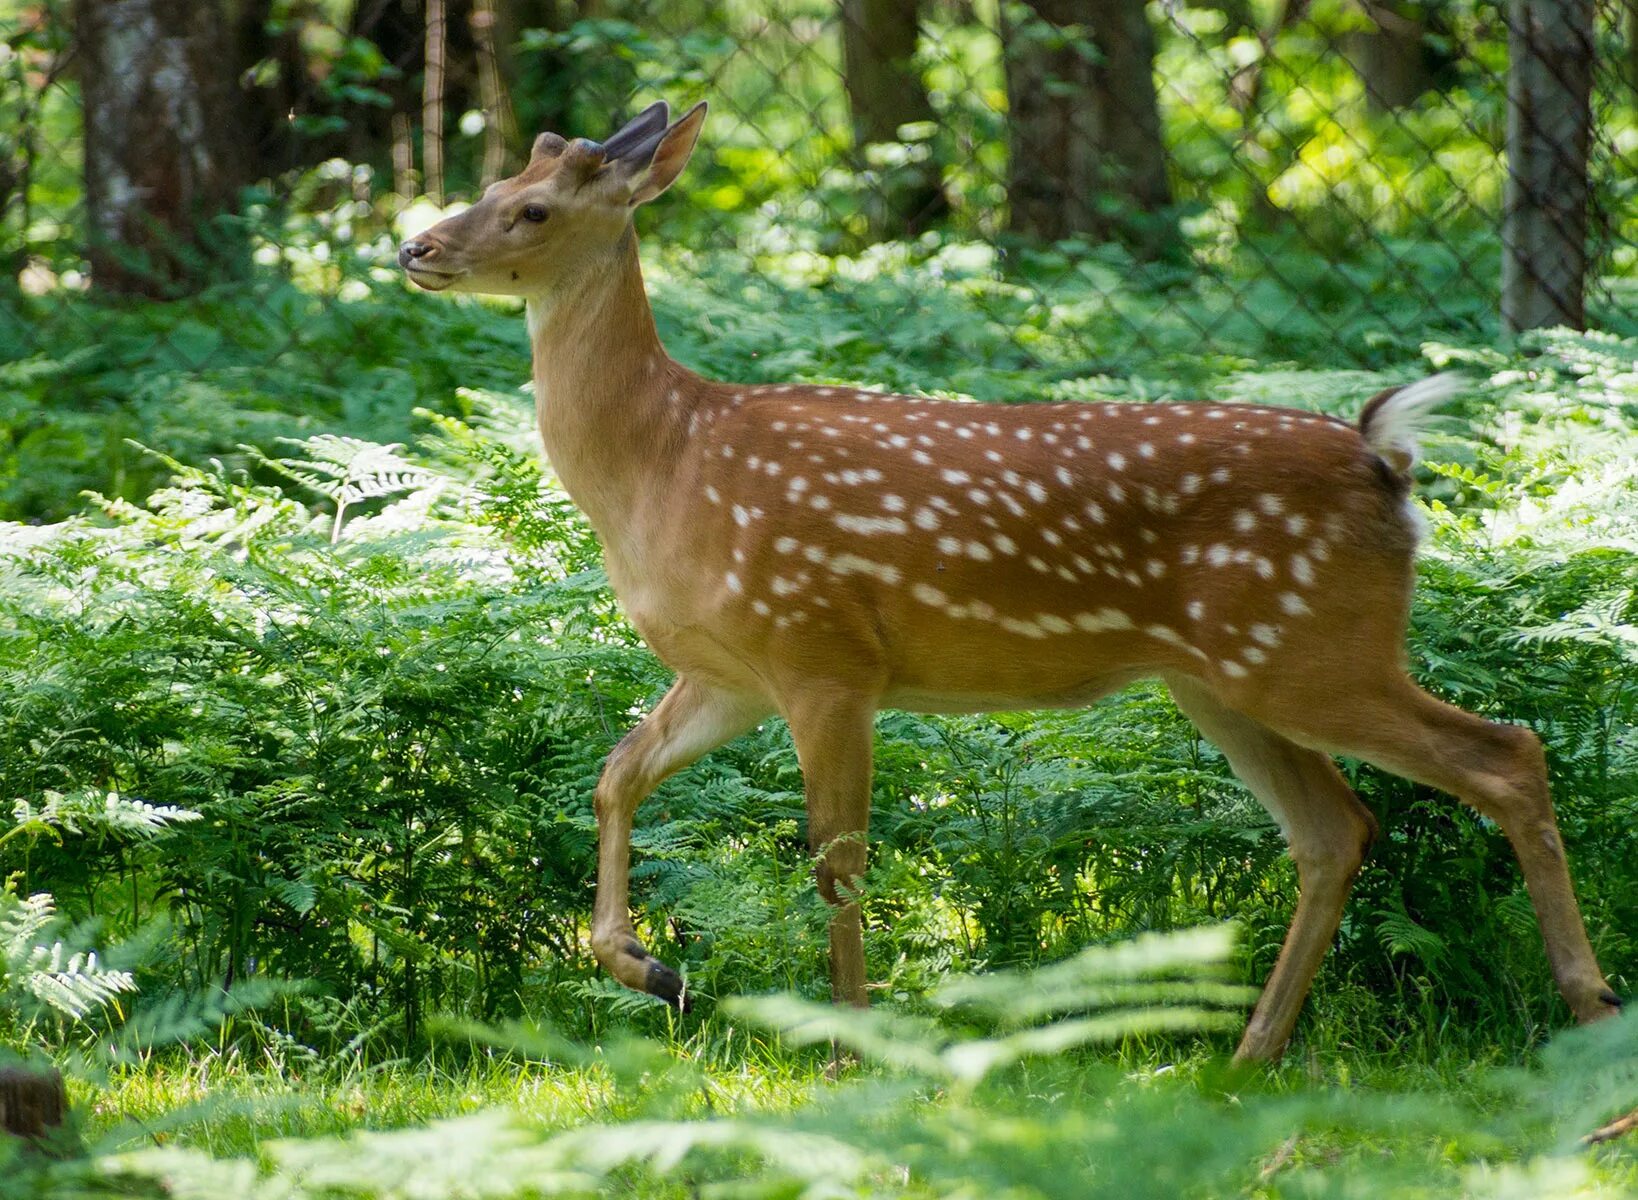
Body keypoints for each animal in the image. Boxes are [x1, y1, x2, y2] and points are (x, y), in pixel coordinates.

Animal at [402, 103, 1618, 1060]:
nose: (416, 247)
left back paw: (1591, 1007)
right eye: (495, 184)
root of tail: (1386, 460)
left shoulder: (824, 651)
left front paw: (848, 1049)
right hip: (1229, 677)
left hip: (1317, 648)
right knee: (1336, 829)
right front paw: (656, 970)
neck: (663, 466)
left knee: (1505, 754)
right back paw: (1249, 1054)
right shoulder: (731, 671)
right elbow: (615, 777)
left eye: (533, 211)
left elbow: (839, 862)